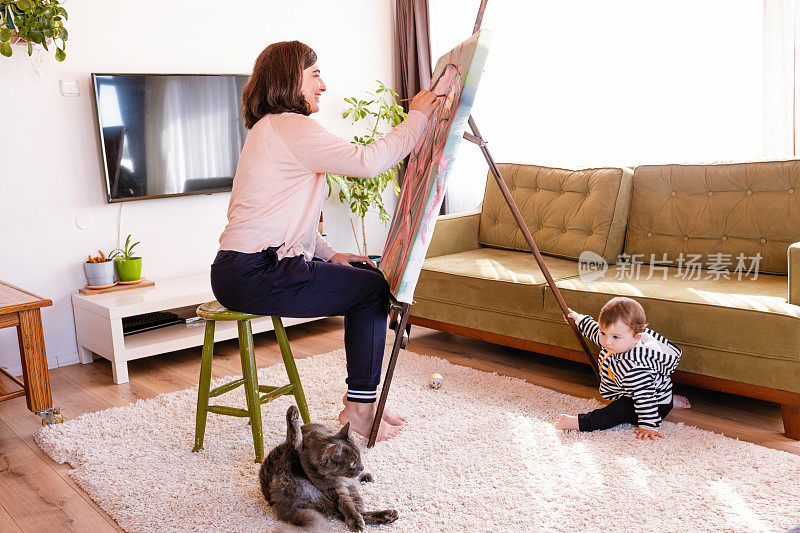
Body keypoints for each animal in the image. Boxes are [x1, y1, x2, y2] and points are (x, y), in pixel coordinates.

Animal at [260, 406, 398, 528]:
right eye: (352, 463)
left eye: (359, 457)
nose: (362, 467)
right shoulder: (334, 489)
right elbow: (348, 506)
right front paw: (356, 523)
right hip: (289, 455)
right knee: (294, 440)